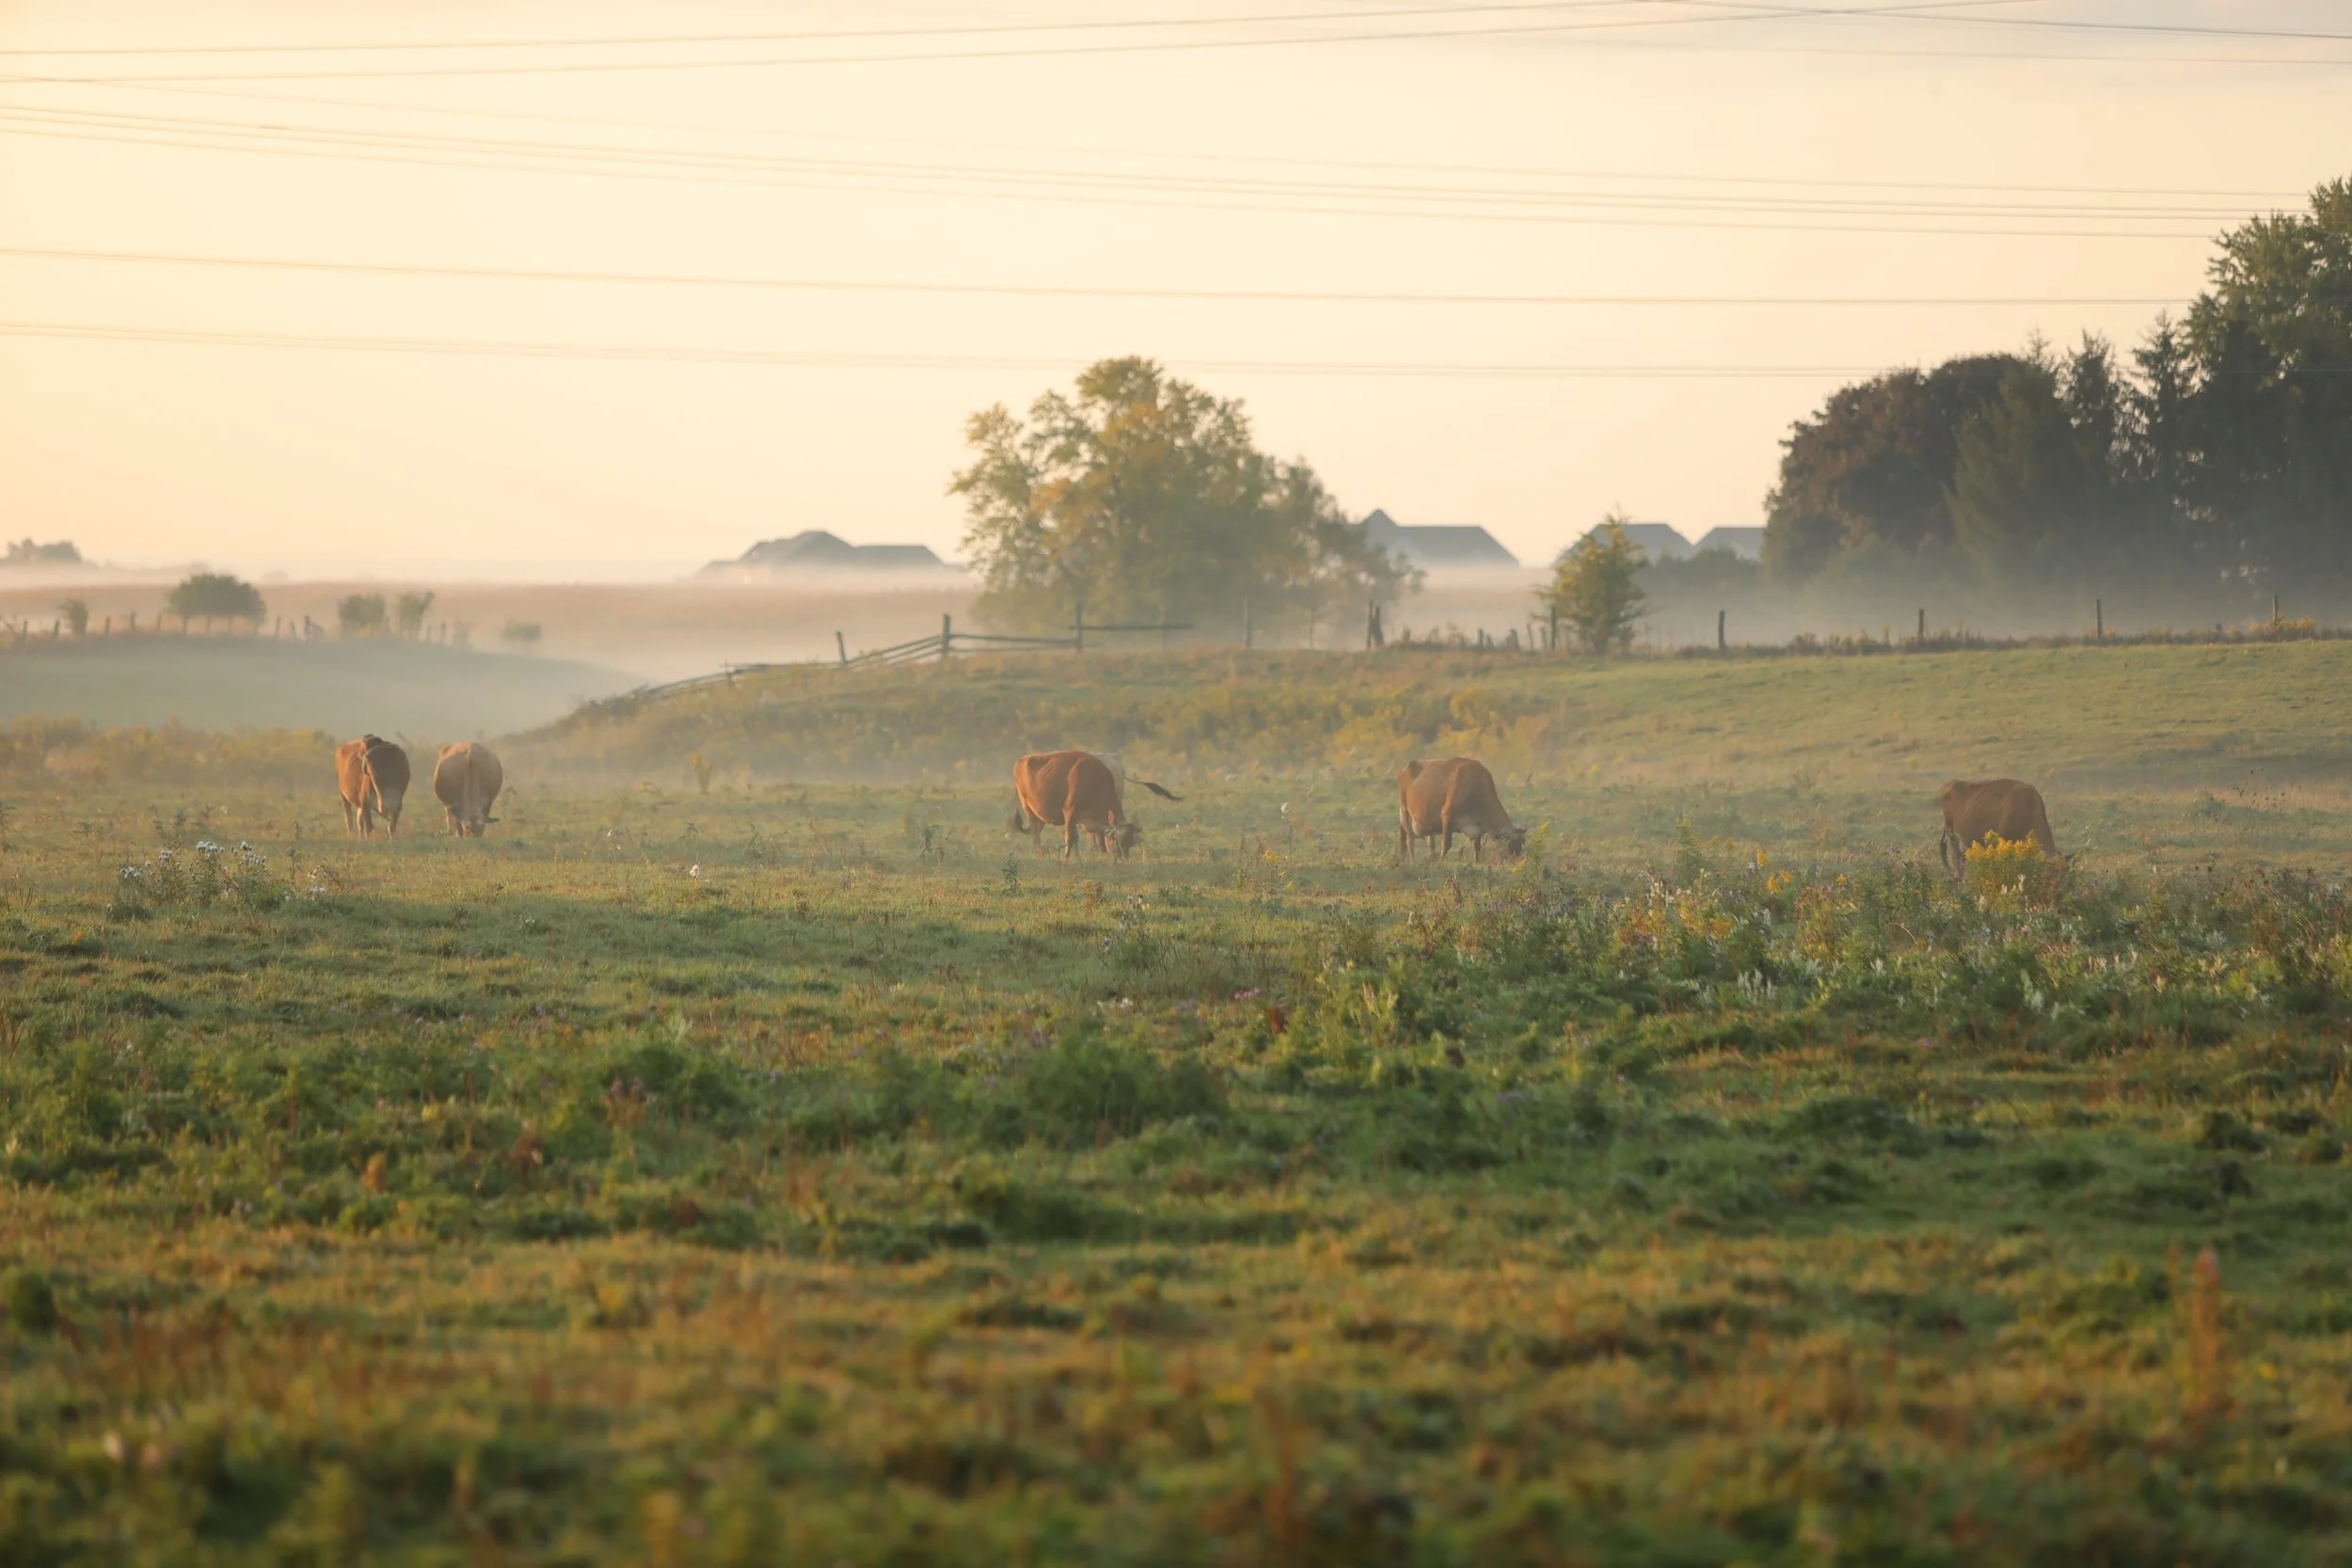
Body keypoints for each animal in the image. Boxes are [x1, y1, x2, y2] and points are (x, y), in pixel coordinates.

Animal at [1010, 749, 1180, 859]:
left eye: (1131, 843)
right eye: (1118, 840)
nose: (1123, 858)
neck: (1094, 781)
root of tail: (1021, 760)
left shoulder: (1085, 820)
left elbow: (1083, 837)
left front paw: (1081, 857)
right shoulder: (1069, 812)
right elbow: (1070, 838)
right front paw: (1066, 857)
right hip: (1028, 808)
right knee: (1035, 832)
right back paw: (1037, 852)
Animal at [1397, 757, 1527, 863]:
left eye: (1520, 846)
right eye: (1510, 847)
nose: (1518, 862)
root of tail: (1404, 768)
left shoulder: (1479, 826)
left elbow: (1477, 846)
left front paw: (1477, 861)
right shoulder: (1446, 816)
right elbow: (1446, 844)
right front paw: (1441, 861)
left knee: (1430, 843)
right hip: (1405, 811)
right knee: (1410, 841)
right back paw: (1413, 861)